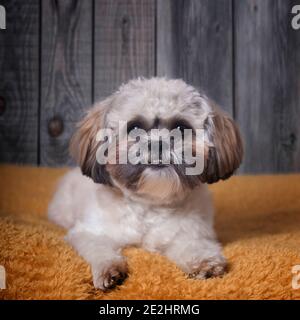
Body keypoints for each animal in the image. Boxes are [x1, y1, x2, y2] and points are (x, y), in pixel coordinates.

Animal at [48, 77, 243, 290]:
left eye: (181, 128)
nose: (158, 143)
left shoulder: (190, 233)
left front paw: (204, 263)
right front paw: (109, 269)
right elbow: (97, 247)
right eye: (134, 128)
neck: (150, 204)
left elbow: (194, 246)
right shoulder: (87, 232)